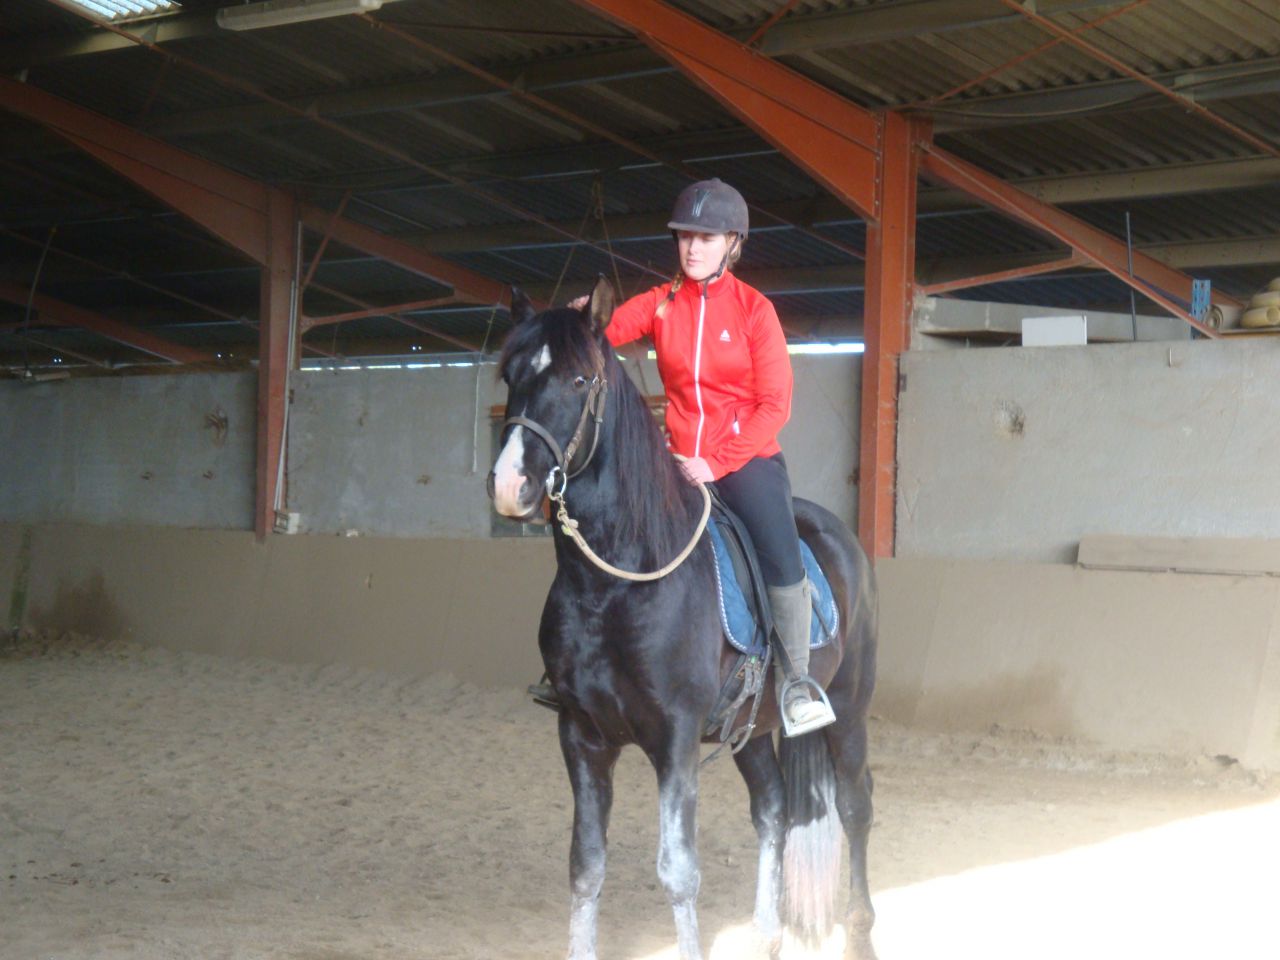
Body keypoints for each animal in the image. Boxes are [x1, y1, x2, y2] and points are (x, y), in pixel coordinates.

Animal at [487, 277, 878, 960]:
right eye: (512, 374)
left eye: (579, 380)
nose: (511, 485)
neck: (615, 584)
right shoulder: (580, 736)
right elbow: (585, 866)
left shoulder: (674, 741)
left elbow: (678, 872)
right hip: (752, 728)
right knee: (774, 809)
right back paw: (767, 934)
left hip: (850, 711)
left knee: (856, 808)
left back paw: (860, 932)